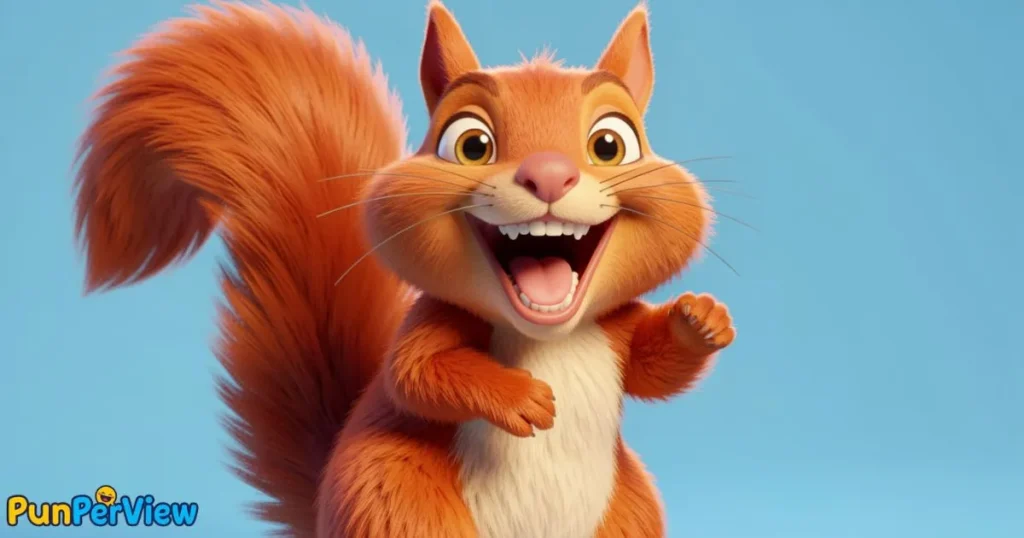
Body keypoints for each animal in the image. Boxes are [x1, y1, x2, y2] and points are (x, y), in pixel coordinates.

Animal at [72, 1, 737, 537]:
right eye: (469, 145)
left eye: (611, 144)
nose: (549, 174)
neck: (546, 337)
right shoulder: (431, 321)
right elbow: (418, 375)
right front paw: (521, 397)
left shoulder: (614, 329)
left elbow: (653, 369)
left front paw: (700, 321)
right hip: (397, 500)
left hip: (625, 515)